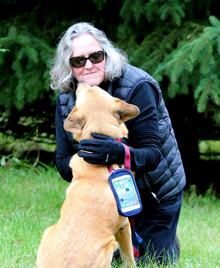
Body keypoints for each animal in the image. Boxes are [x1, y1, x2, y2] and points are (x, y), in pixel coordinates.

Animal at [36, 82, 139, 268]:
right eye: (83, 91)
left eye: (96, 89)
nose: (83, 82)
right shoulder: (125, 225)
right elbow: (129, 257)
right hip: (110, 244)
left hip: (48, 231)